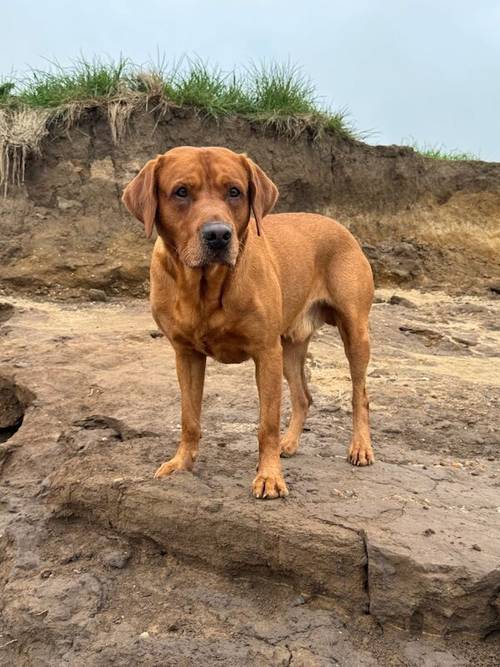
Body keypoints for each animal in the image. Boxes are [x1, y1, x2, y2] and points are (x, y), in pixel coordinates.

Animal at [122, 147, 376, 500]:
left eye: (234, 191)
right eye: (181, 192)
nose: (218, 235)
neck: (205, 287)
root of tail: (339, 226)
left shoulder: (265, 352)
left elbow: (267, 423)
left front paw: (269, 477)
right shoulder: (186, 354)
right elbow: (189, 417)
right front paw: (182, 463)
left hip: (353, 332)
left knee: (359, 394)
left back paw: (360, 447)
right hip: (289, 347)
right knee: (303, 397)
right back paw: (289, 442)